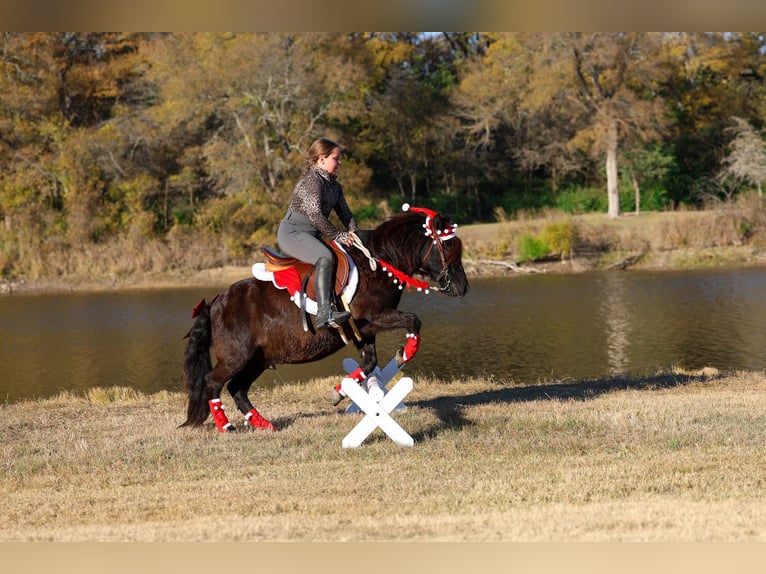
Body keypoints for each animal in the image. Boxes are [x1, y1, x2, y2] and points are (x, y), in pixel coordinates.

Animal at [180, 205, 469, 432]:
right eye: (448, 245)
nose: (462, 288)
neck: (379, 264)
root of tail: (216, 302)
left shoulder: (364, 330)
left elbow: (369, 362)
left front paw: (339, 392)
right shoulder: (376, 317)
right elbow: (413, 321)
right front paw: (403, 355)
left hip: (258, 359)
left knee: (237, 388)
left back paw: (263, 424)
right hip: (237, 356)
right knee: (213, 382)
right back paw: (225, 426)